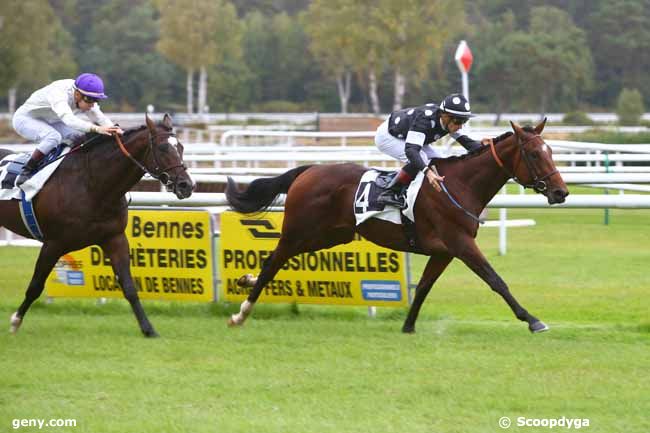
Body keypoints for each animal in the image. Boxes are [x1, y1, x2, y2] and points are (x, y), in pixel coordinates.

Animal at [0, 113, 192, 336]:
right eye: (162, 148)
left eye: (181, 147)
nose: (187, 185)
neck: (92, 184)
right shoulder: (53, 244)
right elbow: (35, 286)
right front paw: (15, 321)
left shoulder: (114, 238)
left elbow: (129, 286)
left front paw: (148, 329)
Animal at [224, 120, 568, 332]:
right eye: (534, 153)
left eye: (551, 151)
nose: (561, 192)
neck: (459, 185)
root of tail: (307, 171)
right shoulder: (460, 243)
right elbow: (495, 279)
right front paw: (532, 319)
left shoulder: (444, 251)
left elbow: (425, 286)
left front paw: (408, 325)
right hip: (299, 231)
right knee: (273, 260)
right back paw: (241, 312)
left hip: (329, 236)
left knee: (278, 260)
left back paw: (245, 280)